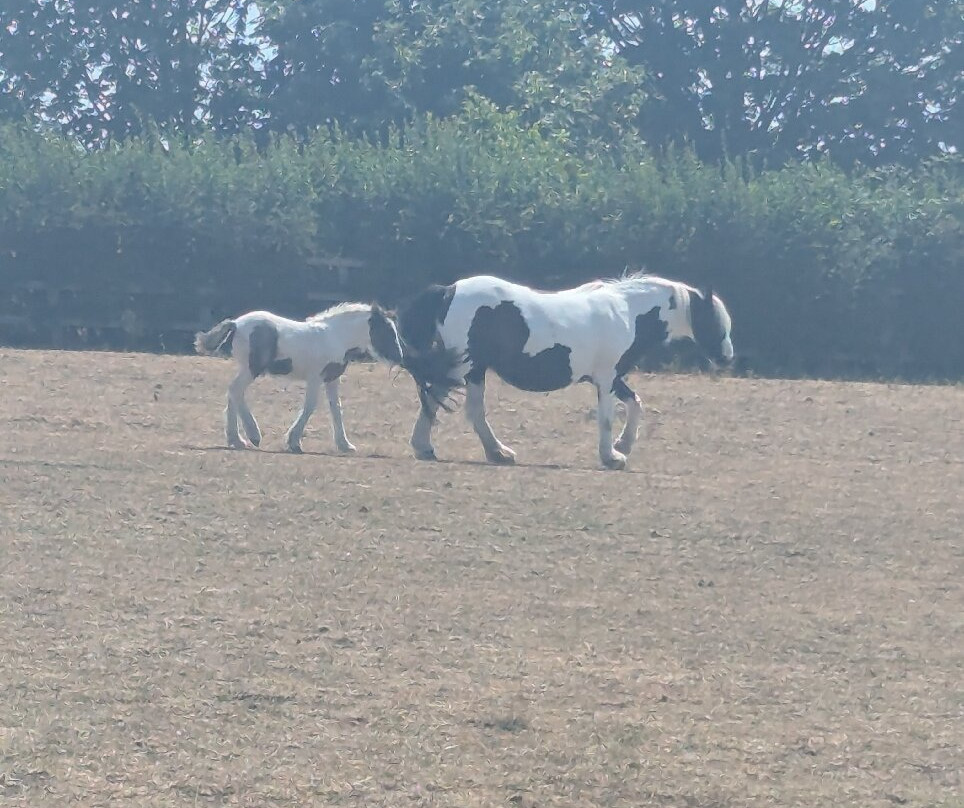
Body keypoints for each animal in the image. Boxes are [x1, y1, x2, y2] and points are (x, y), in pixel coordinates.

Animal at [195, 302, 460, 453]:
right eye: (385, 330)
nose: (400, 355)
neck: (336, 336)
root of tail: (236, 323)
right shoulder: (316, 377)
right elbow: (311, 406)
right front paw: (294, 442)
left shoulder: (332, 379)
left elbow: (336, 409)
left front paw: (345, 445)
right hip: (252, 369)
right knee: (235, 391)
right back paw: (252, 435)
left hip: (246, 368)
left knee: (232, 393)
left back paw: (236, 439)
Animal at [398, 272, 734, 470]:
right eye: (715, 319)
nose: (728, 358)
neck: (626, 313)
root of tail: (449, 290)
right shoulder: (606, 378)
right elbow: (607, 418)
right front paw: (611, 456)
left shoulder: (613, 377)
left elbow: (636, 403)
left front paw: (622, 446)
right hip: (464, 366)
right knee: (437, 401)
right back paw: (428, 447)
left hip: (474, 370)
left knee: (467, 410)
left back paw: (495, 453)